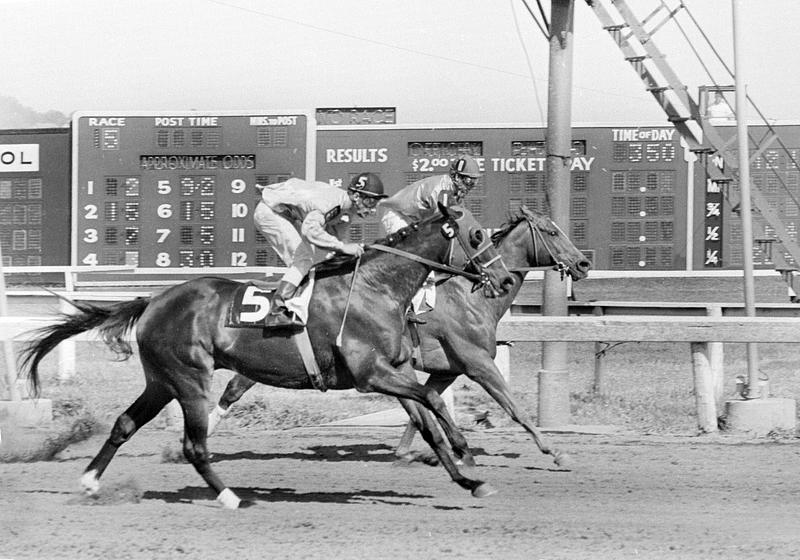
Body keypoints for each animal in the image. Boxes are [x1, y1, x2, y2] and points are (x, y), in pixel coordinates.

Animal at [21, 205, 516, 508]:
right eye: (478, 235)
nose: (506, 280)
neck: (375, 287)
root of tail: (153, 300)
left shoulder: (393, 371)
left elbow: (427, 421)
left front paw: (469, 479)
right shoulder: (371, 373)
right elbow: (432, 402)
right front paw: (465, 453)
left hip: (161, 380)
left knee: (125, 424)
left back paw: (90, 482)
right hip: (190, 379)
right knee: (195, 444)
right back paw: (231, 498)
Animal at [209, 206, 592, 464]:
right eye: (552, 232)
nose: (584, 263)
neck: (470, 296)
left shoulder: (444, 370)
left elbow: (422, 407)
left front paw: (414, 451)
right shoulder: (477, 363)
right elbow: (514, 408)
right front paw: (555, 451)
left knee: (234, 387)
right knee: (233, 389)